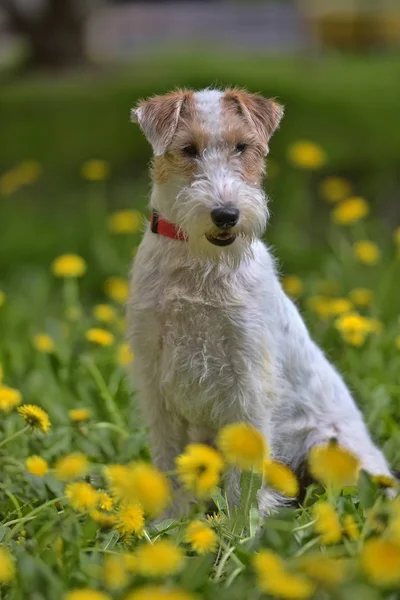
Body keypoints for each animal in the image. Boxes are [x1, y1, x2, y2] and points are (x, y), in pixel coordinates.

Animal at [126, 89, 392, 516]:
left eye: (242, 147)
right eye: (188, 149)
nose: (226, 214)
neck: (198, 265)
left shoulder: (247, 377)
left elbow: (244, 478)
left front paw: (240, 527)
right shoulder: (155, 377)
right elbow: (168, 464)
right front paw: (169, 521)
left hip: (330, 449)